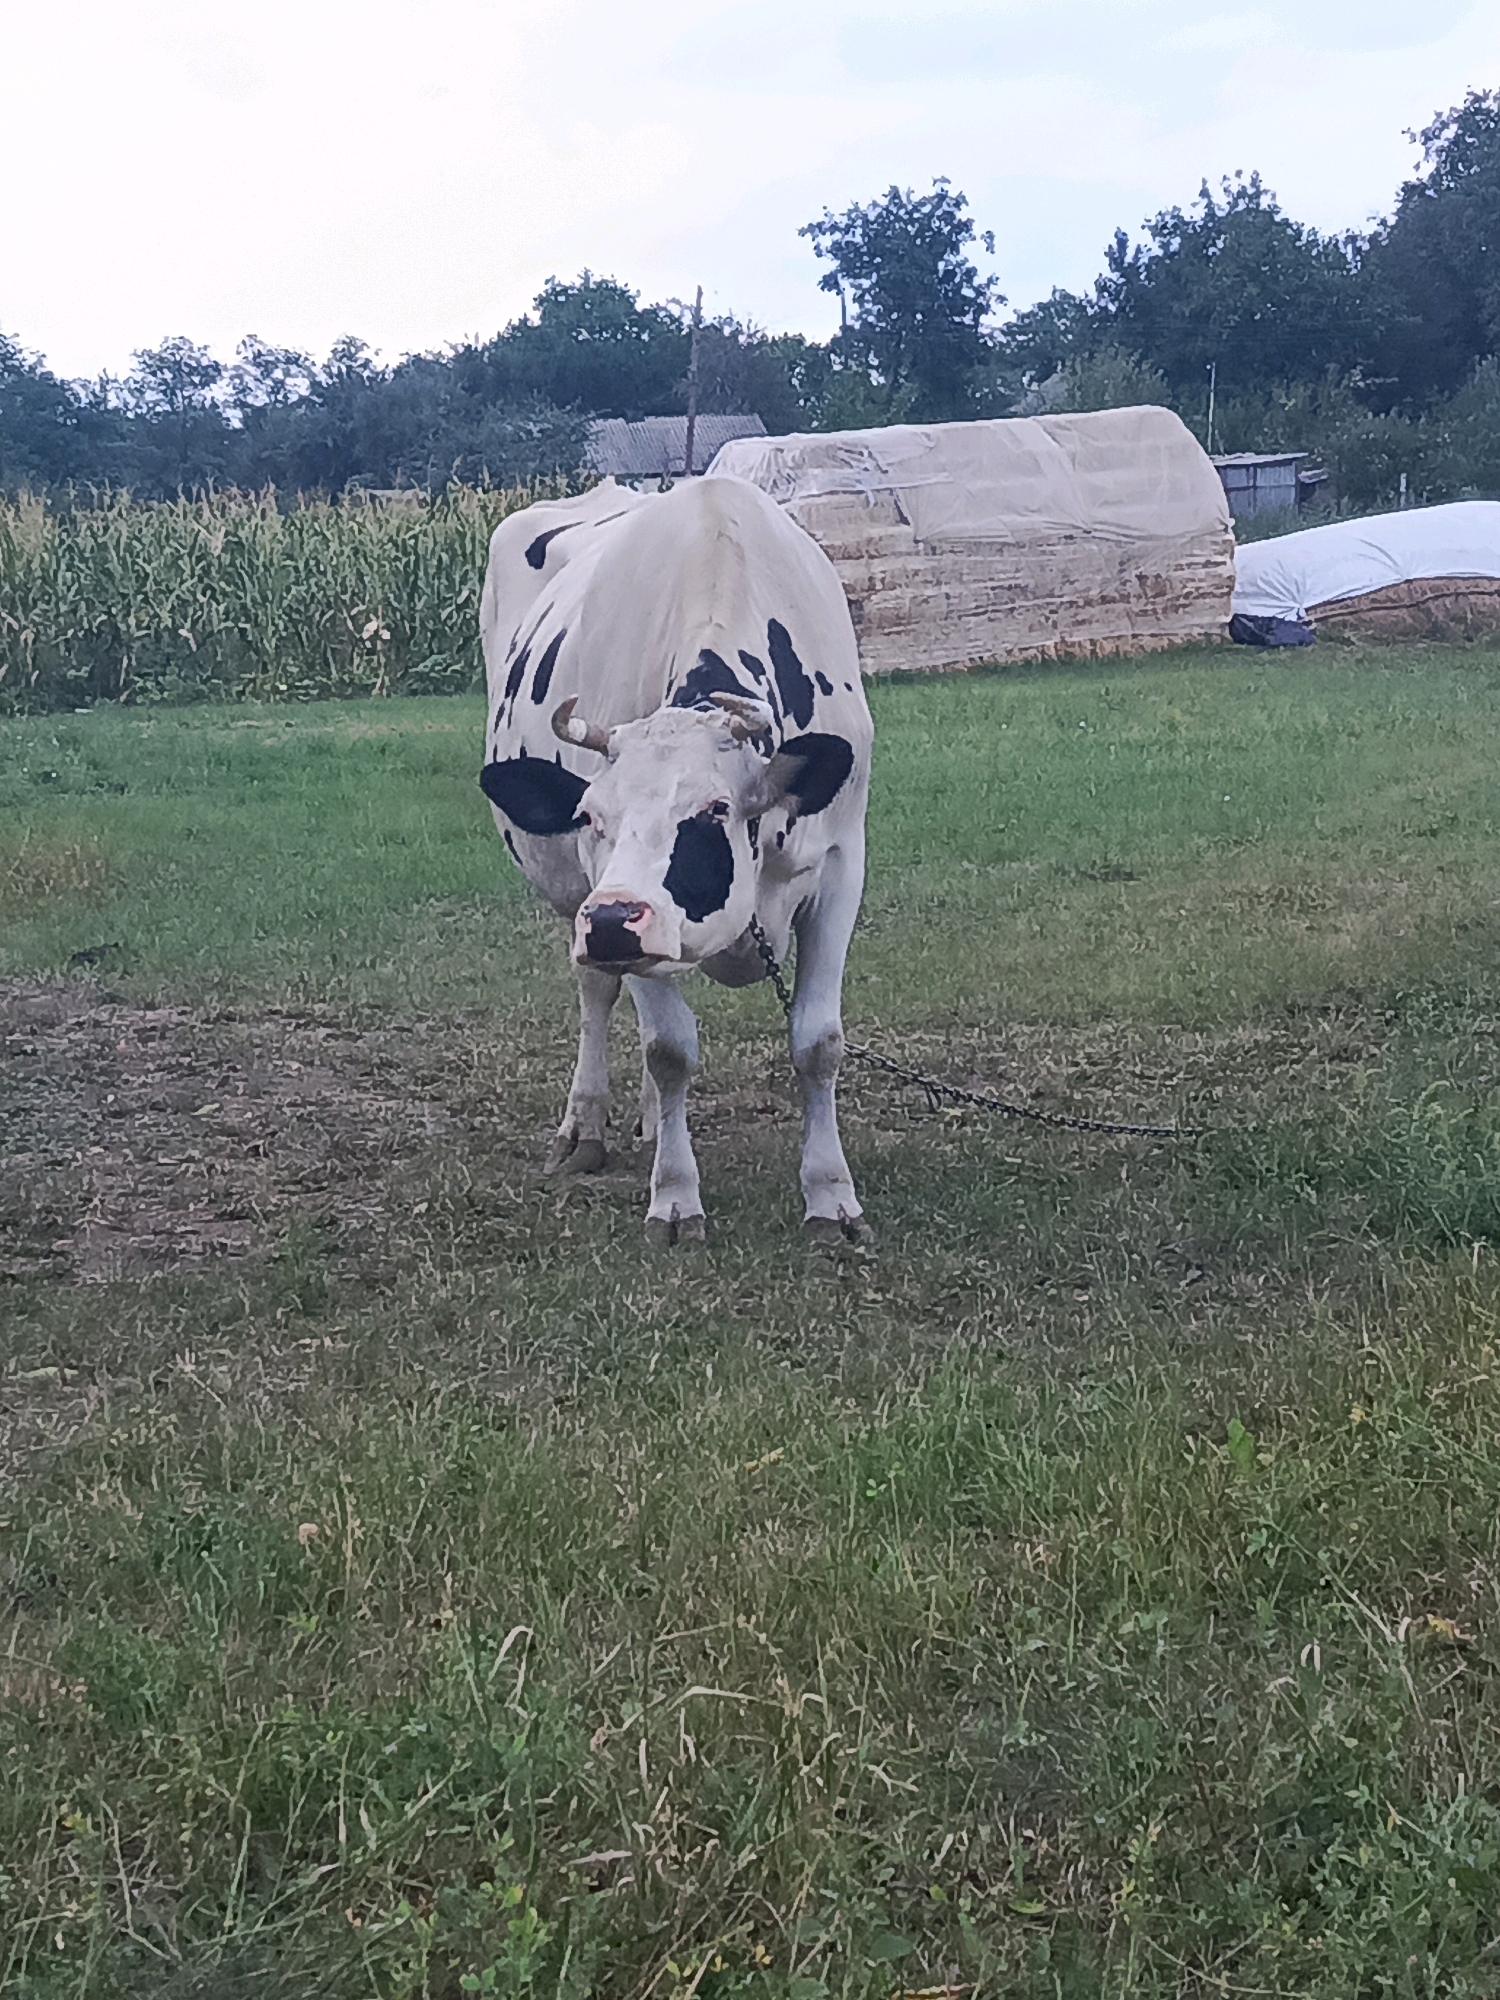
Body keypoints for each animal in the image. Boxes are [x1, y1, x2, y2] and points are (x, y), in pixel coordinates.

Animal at [478, 474, 873, 1246]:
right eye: (588, 815)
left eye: (714, 809)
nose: (610, 923)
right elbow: (669, 1050)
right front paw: (675, 1198)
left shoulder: (842, 865)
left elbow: (818, 1042)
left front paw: (830, 1196)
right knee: (601, 997)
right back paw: (589, 1127)